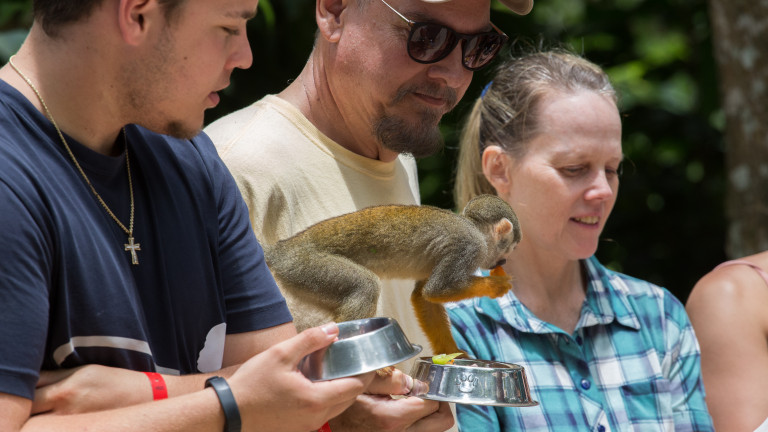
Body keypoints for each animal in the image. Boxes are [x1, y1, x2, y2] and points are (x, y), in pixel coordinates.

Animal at [264, 194, 522, 355]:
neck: (475, 229)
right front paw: (496, 285)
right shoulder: (468, 246)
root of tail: (282, 249)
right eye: (510, 248)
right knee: (365, 285)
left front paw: (451, 352)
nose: (503, 261)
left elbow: (424, 296)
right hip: (305, 265)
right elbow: (438, 289)